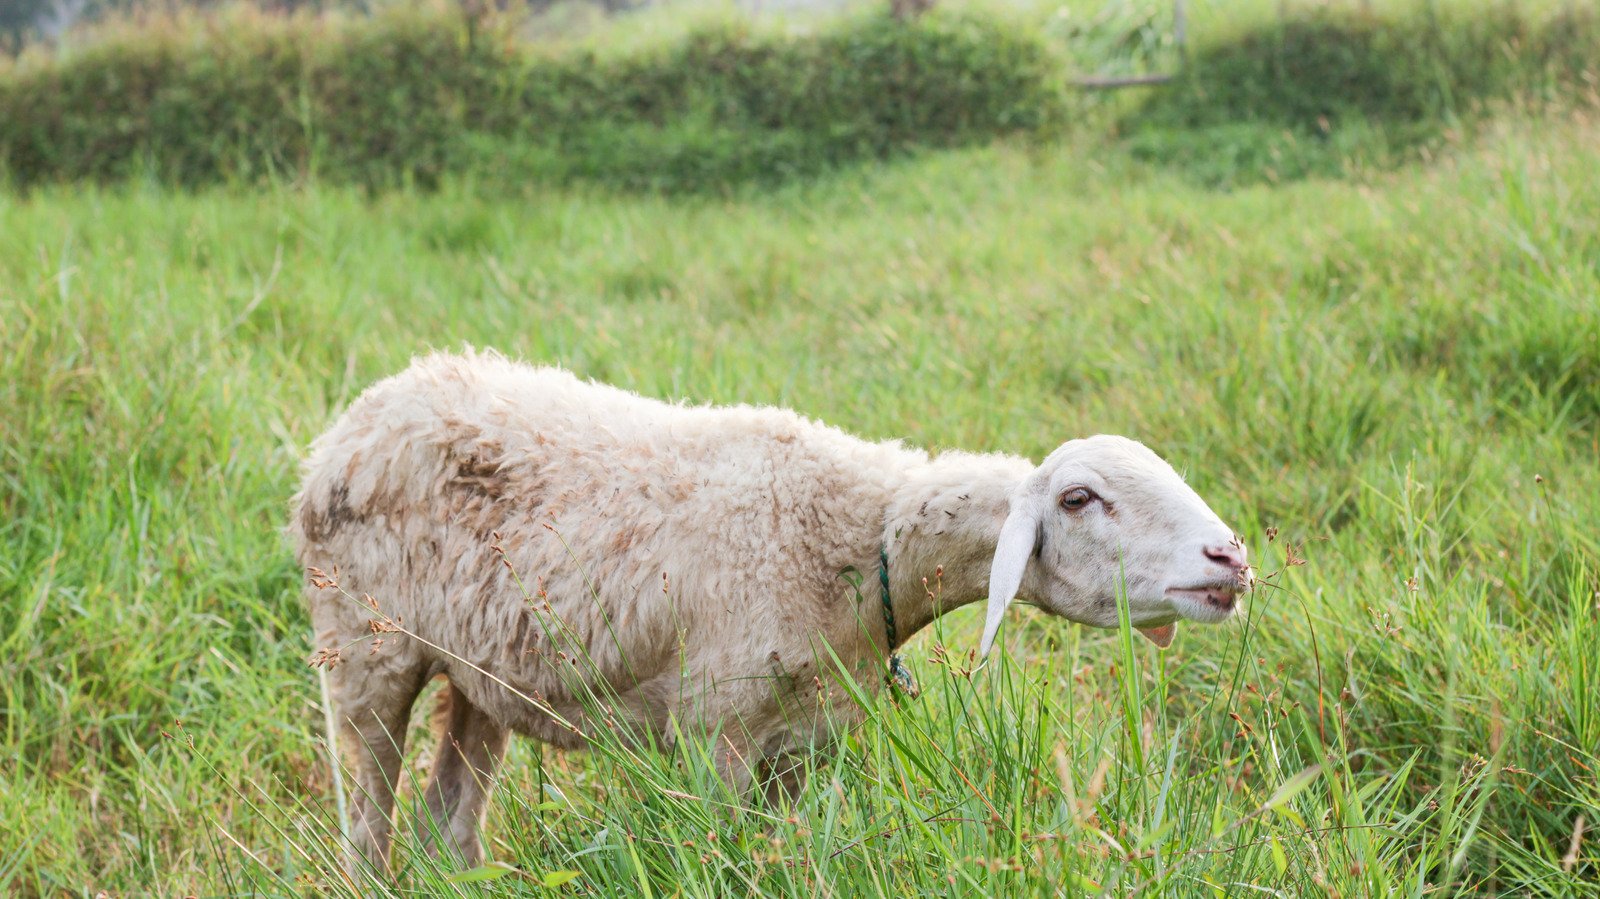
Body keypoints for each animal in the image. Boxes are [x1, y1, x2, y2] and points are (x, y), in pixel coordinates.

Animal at [291, 350, 1248, 870]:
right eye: (1081, 499)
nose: (1231, 559)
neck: (859, 543)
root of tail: (358, 415)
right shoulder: (714, 727)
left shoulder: (803, 742)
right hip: (362, 646)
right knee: (367, 821)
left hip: (479, 670)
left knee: (448, 817)